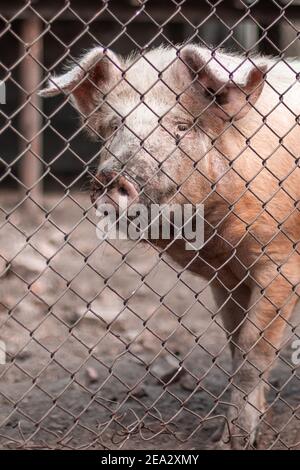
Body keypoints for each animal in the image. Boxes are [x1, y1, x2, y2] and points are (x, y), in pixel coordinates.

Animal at [41, 46, 300, 450]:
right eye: (114, 126)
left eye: (180, 127)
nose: (111, 178)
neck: (215, 239)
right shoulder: (227, 278)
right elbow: (233, 343)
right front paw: (225, 435)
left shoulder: (281, 258)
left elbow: (252, 352)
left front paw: (233, 442)